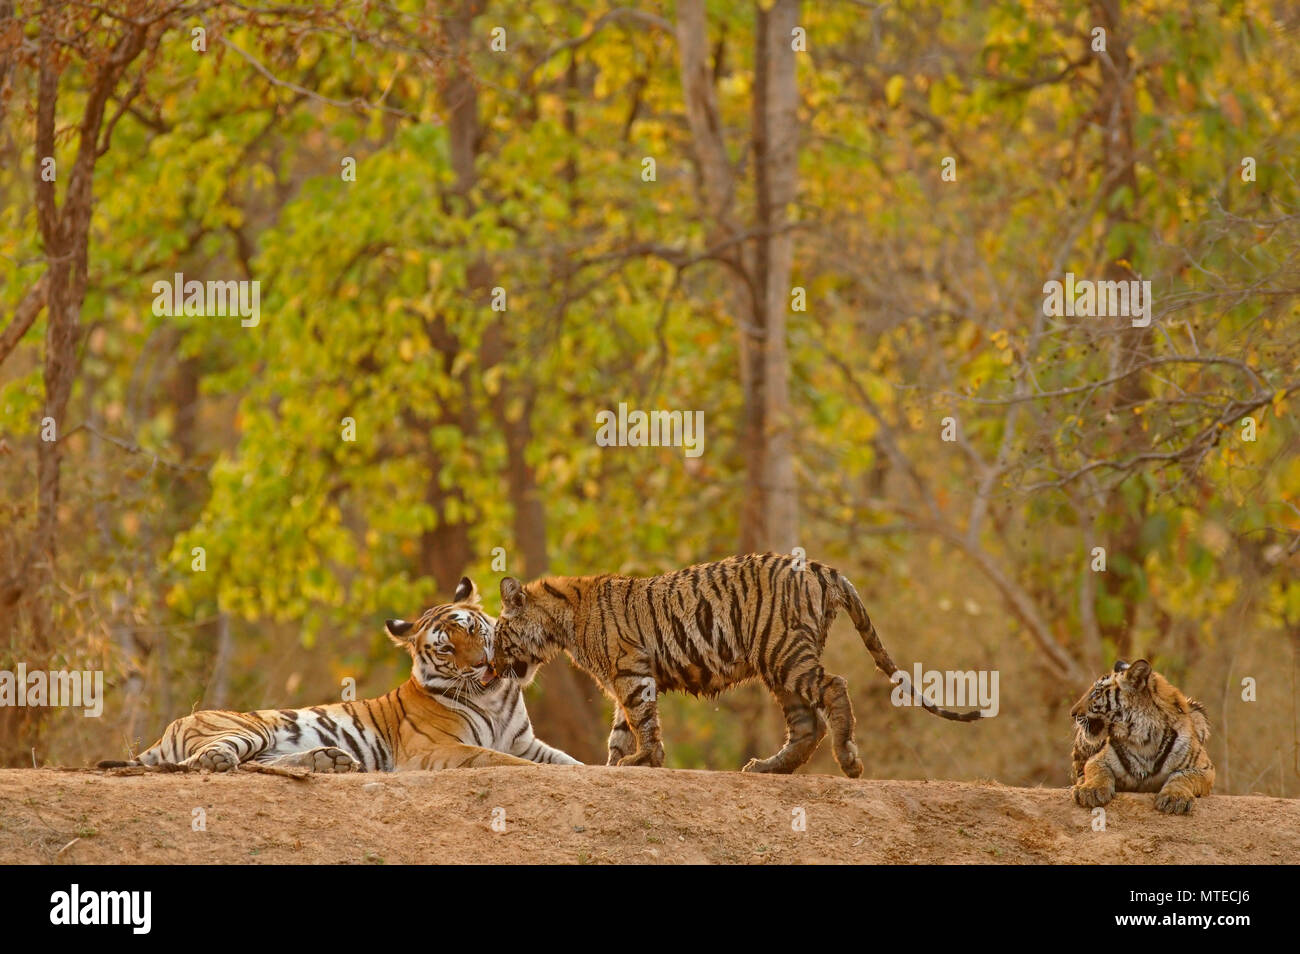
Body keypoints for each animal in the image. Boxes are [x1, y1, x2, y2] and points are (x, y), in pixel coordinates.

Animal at [104, 579, 582, 774]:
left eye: (472, 629)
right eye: (446, 648)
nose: (483, 664)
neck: (494, 697)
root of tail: (170, 728)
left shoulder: (527, 742)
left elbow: (569, 761)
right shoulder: (436, 748)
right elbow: (495, 758)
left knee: (255, 764)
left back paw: (327, 760)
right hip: (246, 729)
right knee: (202, 761)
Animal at [491, 548, 977, 779]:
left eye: (498, 637)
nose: (492, 666)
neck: (561, 623)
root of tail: (823, 569)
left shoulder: (630, 670)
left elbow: (642, 721)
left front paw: (643, 760)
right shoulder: (622, 678)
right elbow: (620, 730)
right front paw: (616, 765)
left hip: (783, 652)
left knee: (834, 688)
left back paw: (849, 760)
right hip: (778, 664)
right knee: (808, 725)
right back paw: (765, 769)